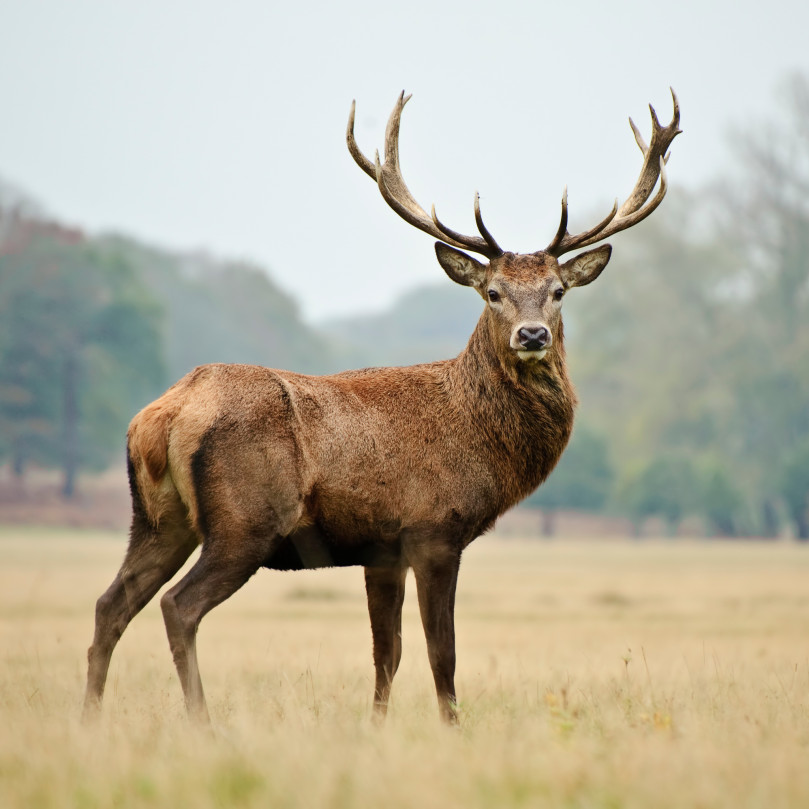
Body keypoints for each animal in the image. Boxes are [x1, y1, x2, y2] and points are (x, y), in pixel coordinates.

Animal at [82, 90, 680, 724]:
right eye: (492, 293)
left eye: (558, 292)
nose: (533, 334)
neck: (479, 438)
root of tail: (164, 415)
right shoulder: (434, 528)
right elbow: (442, 652)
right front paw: (452, 728)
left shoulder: (381, 550)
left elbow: (385, 653)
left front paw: (376, 727)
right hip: (244, 521)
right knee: (178, 606)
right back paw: (202, 723)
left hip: (158, 518)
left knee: (110, 604)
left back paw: (89, 718)